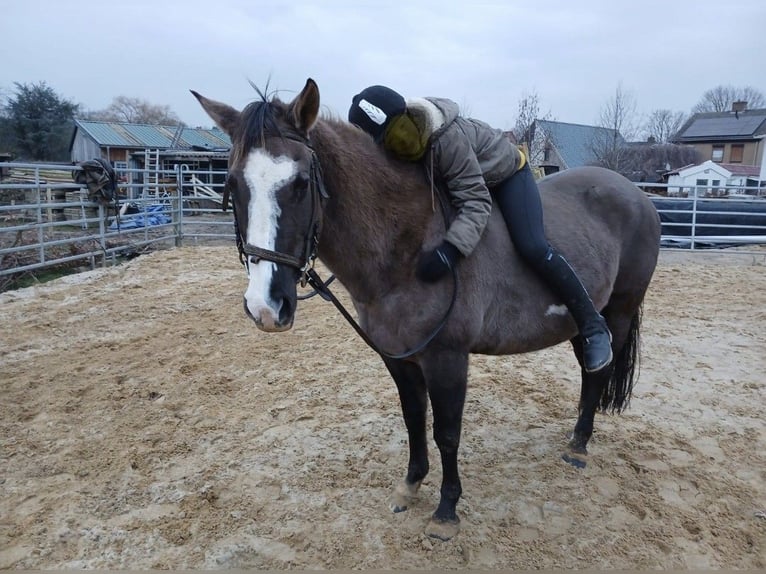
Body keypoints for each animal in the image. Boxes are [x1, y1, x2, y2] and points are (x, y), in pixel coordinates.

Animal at [192, 78, 662, 540]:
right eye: (232, 185)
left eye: (301, 183)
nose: (266, 306)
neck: (408, 245)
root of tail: (636, 194)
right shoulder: (399, 357)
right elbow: (414, 419)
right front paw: (410, 485)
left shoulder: (447, 358)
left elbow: (447, 432)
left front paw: (447, 510)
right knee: (590, 367)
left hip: (618, 312)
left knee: (597, 370)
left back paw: (579, 446)